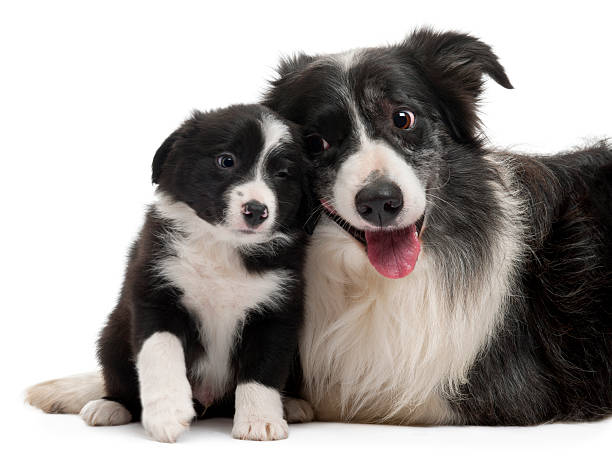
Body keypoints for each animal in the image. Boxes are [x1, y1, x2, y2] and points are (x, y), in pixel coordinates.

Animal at [26, 104, 314, 442]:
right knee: (118, 379)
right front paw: (166, 413)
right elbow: (160, 352)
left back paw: (291, 405)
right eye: (226, 160)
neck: (223, 246)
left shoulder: (277, 310)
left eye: (283, 174)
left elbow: (263, 369)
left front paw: (260, 420)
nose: (256, 211)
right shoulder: (155, 291)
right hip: (112, 336)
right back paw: (110, 406)